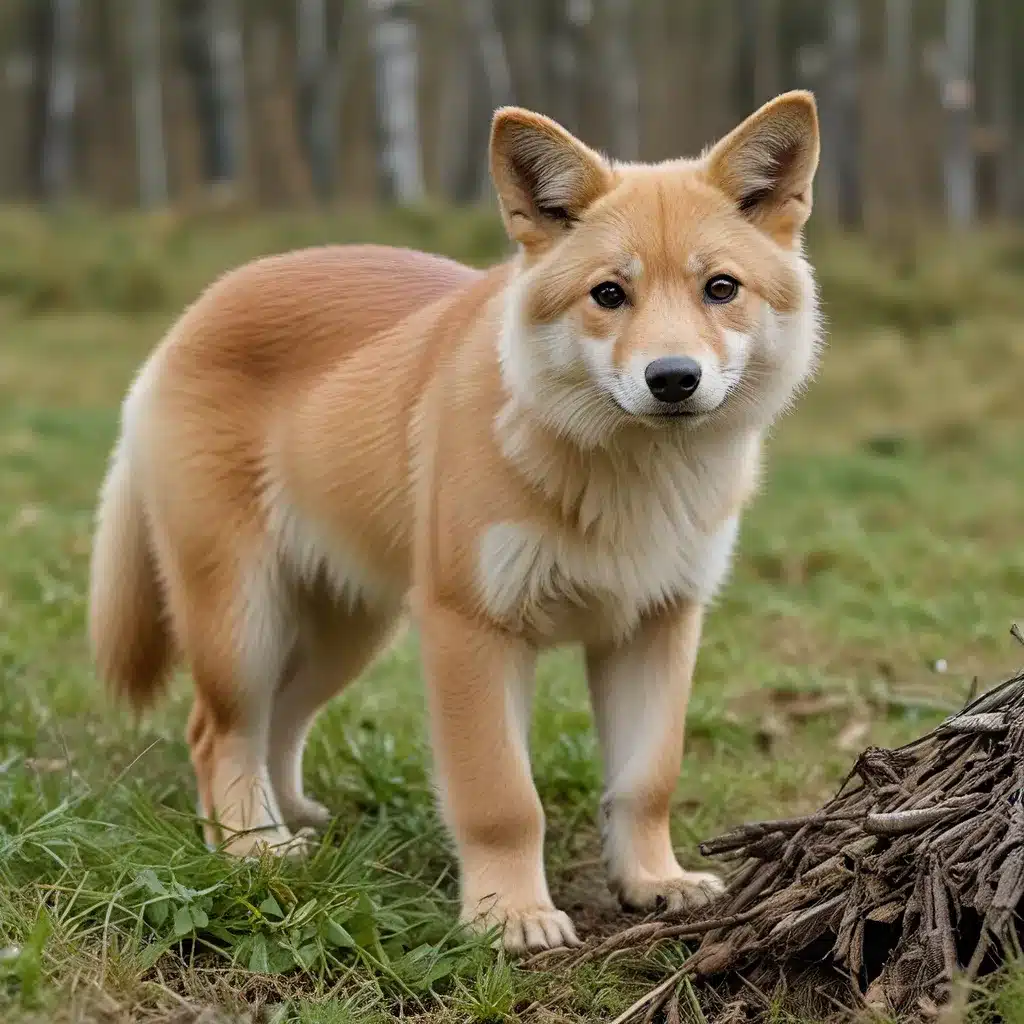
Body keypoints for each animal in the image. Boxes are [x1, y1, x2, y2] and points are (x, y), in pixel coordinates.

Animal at [90, 92, 823, 954]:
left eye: (720, 287)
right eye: (609, 294)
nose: (673, 379)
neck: (626, 476)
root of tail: (192, 316)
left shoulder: (657, 625)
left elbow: (649, 778)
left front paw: (653, 881)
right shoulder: (472, 629)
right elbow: (501, 796)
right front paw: (511, 916)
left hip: (346, 627)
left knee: (282, 715)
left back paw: (293, 818)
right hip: (240, 617)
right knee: (218, 730)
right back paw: (253, 848)